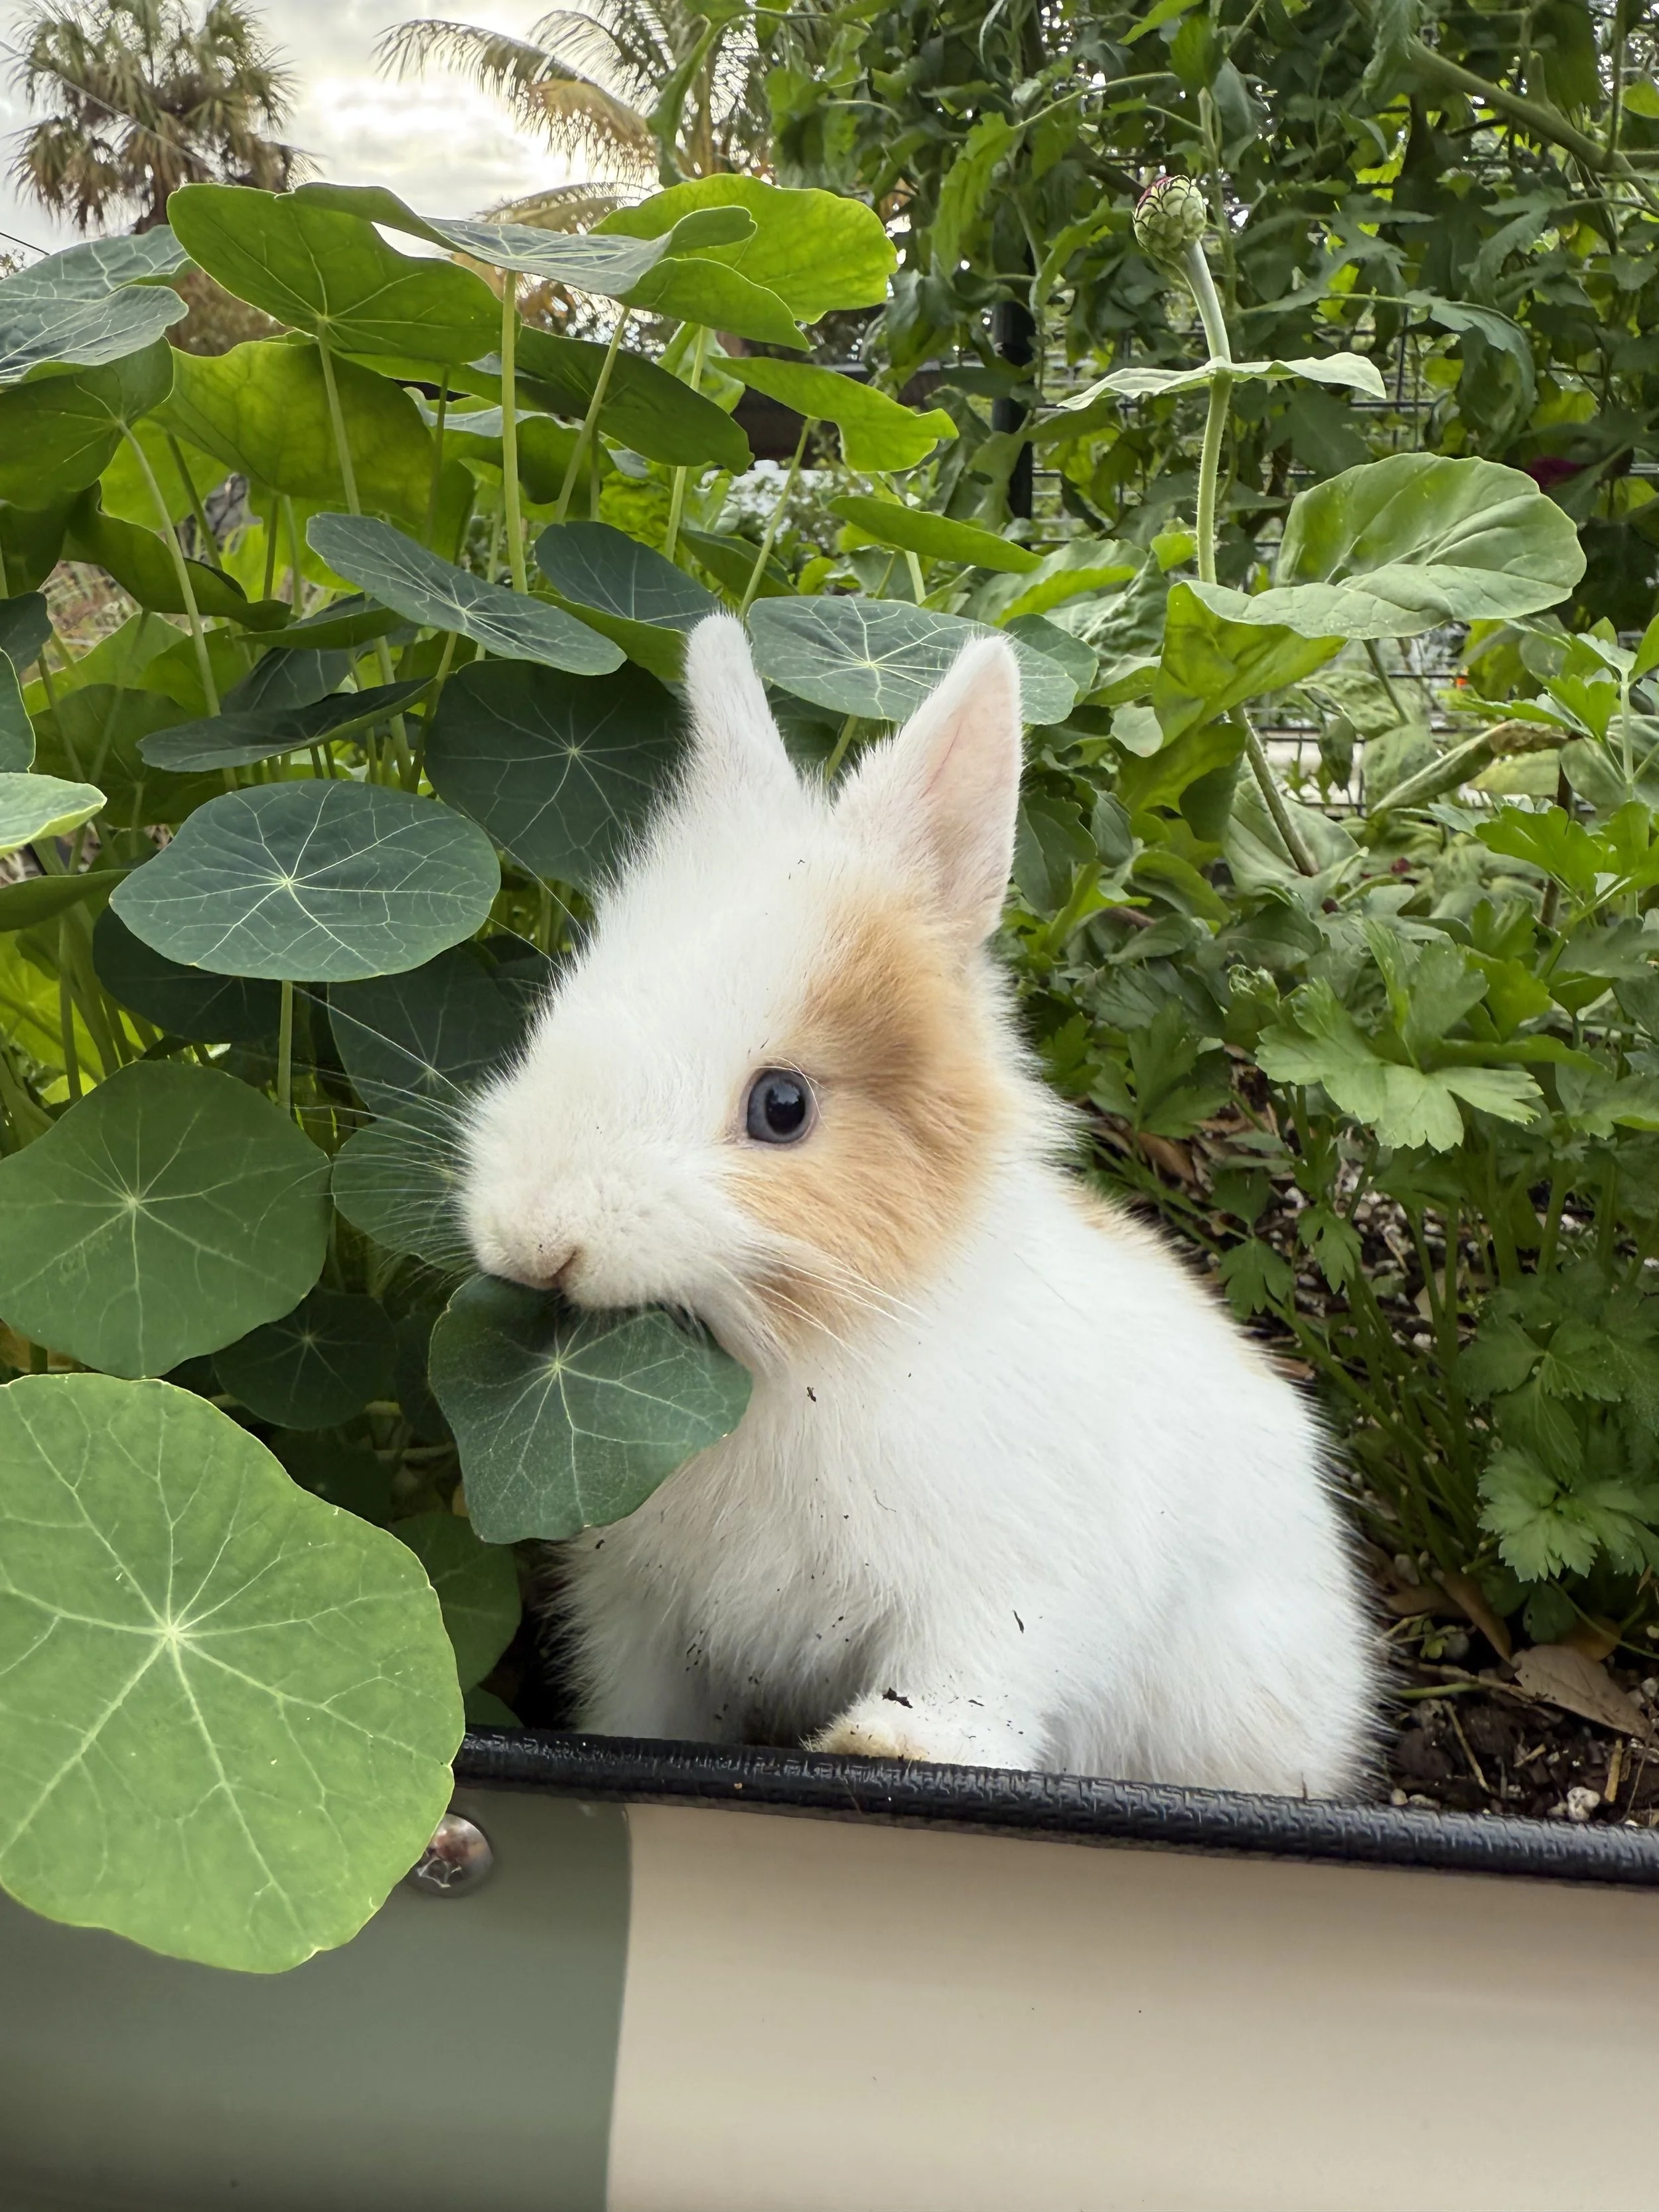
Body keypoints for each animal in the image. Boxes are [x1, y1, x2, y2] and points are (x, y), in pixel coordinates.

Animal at [459, 614, 1379, 1795]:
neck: (810, 1355)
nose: (537, 1236)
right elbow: (647, 1706)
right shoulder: (640, 1611)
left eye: (783, 1106)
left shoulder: (1004, 1590)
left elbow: (972, 1681)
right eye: (561, 1014)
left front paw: (886, 1745)